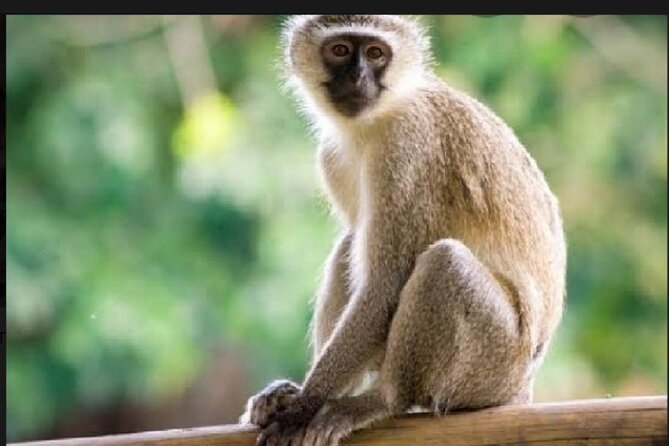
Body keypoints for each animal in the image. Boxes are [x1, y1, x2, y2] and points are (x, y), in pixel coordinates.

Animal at [239, 15, 567, 446]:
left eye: (376, 53)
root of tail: (522, 389)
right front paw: (292, 396)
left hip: (494, 363)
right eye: (340, 50)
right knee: (351, 243)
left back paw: (382, 400)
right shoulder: (330, 156)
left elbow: (387, 283)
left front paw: (303, 407)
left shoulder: (407, 147)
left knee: (444, 263)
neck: (376, 120)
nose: (358, 76)